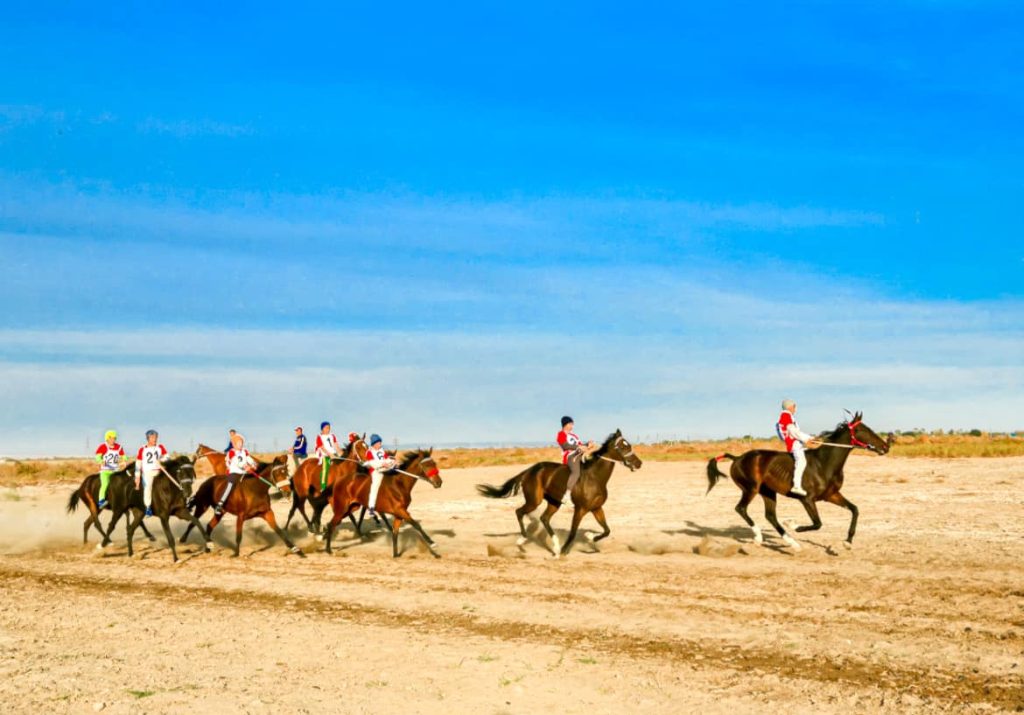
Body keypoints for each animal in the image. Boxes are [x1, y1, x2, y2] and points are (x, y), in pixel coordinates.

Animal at [473, 428, 638, 557]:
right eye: (622, 447)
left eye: (628, 445)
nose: (639, 463)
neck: (594, 478)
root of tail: (530, 470)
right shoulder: (580, 509)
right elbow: (573, 532)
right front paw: (564, 552)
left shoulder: (596, 508)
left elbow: (607, 530)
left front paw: (590, 537)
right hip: (534, 500)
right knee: (519, 512)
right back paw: (523, 541)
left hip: (554, 502)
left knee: (544, 518)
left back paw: (555, 546)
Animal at [708, 409, 892, 549]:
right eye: (863, 430)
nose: (885, 446)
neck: (824, 463)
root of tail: (737, 457)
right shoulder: (807, 500)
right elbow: (817, 523)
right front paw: (793, 524)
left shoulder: (831, 496)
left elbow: (855, 510)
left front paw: (848, 541)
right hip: (750, 489)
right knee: (741, 509)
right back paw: (759, 537)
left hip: (768, 492)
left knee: (770, 516)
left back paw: (792, 543)